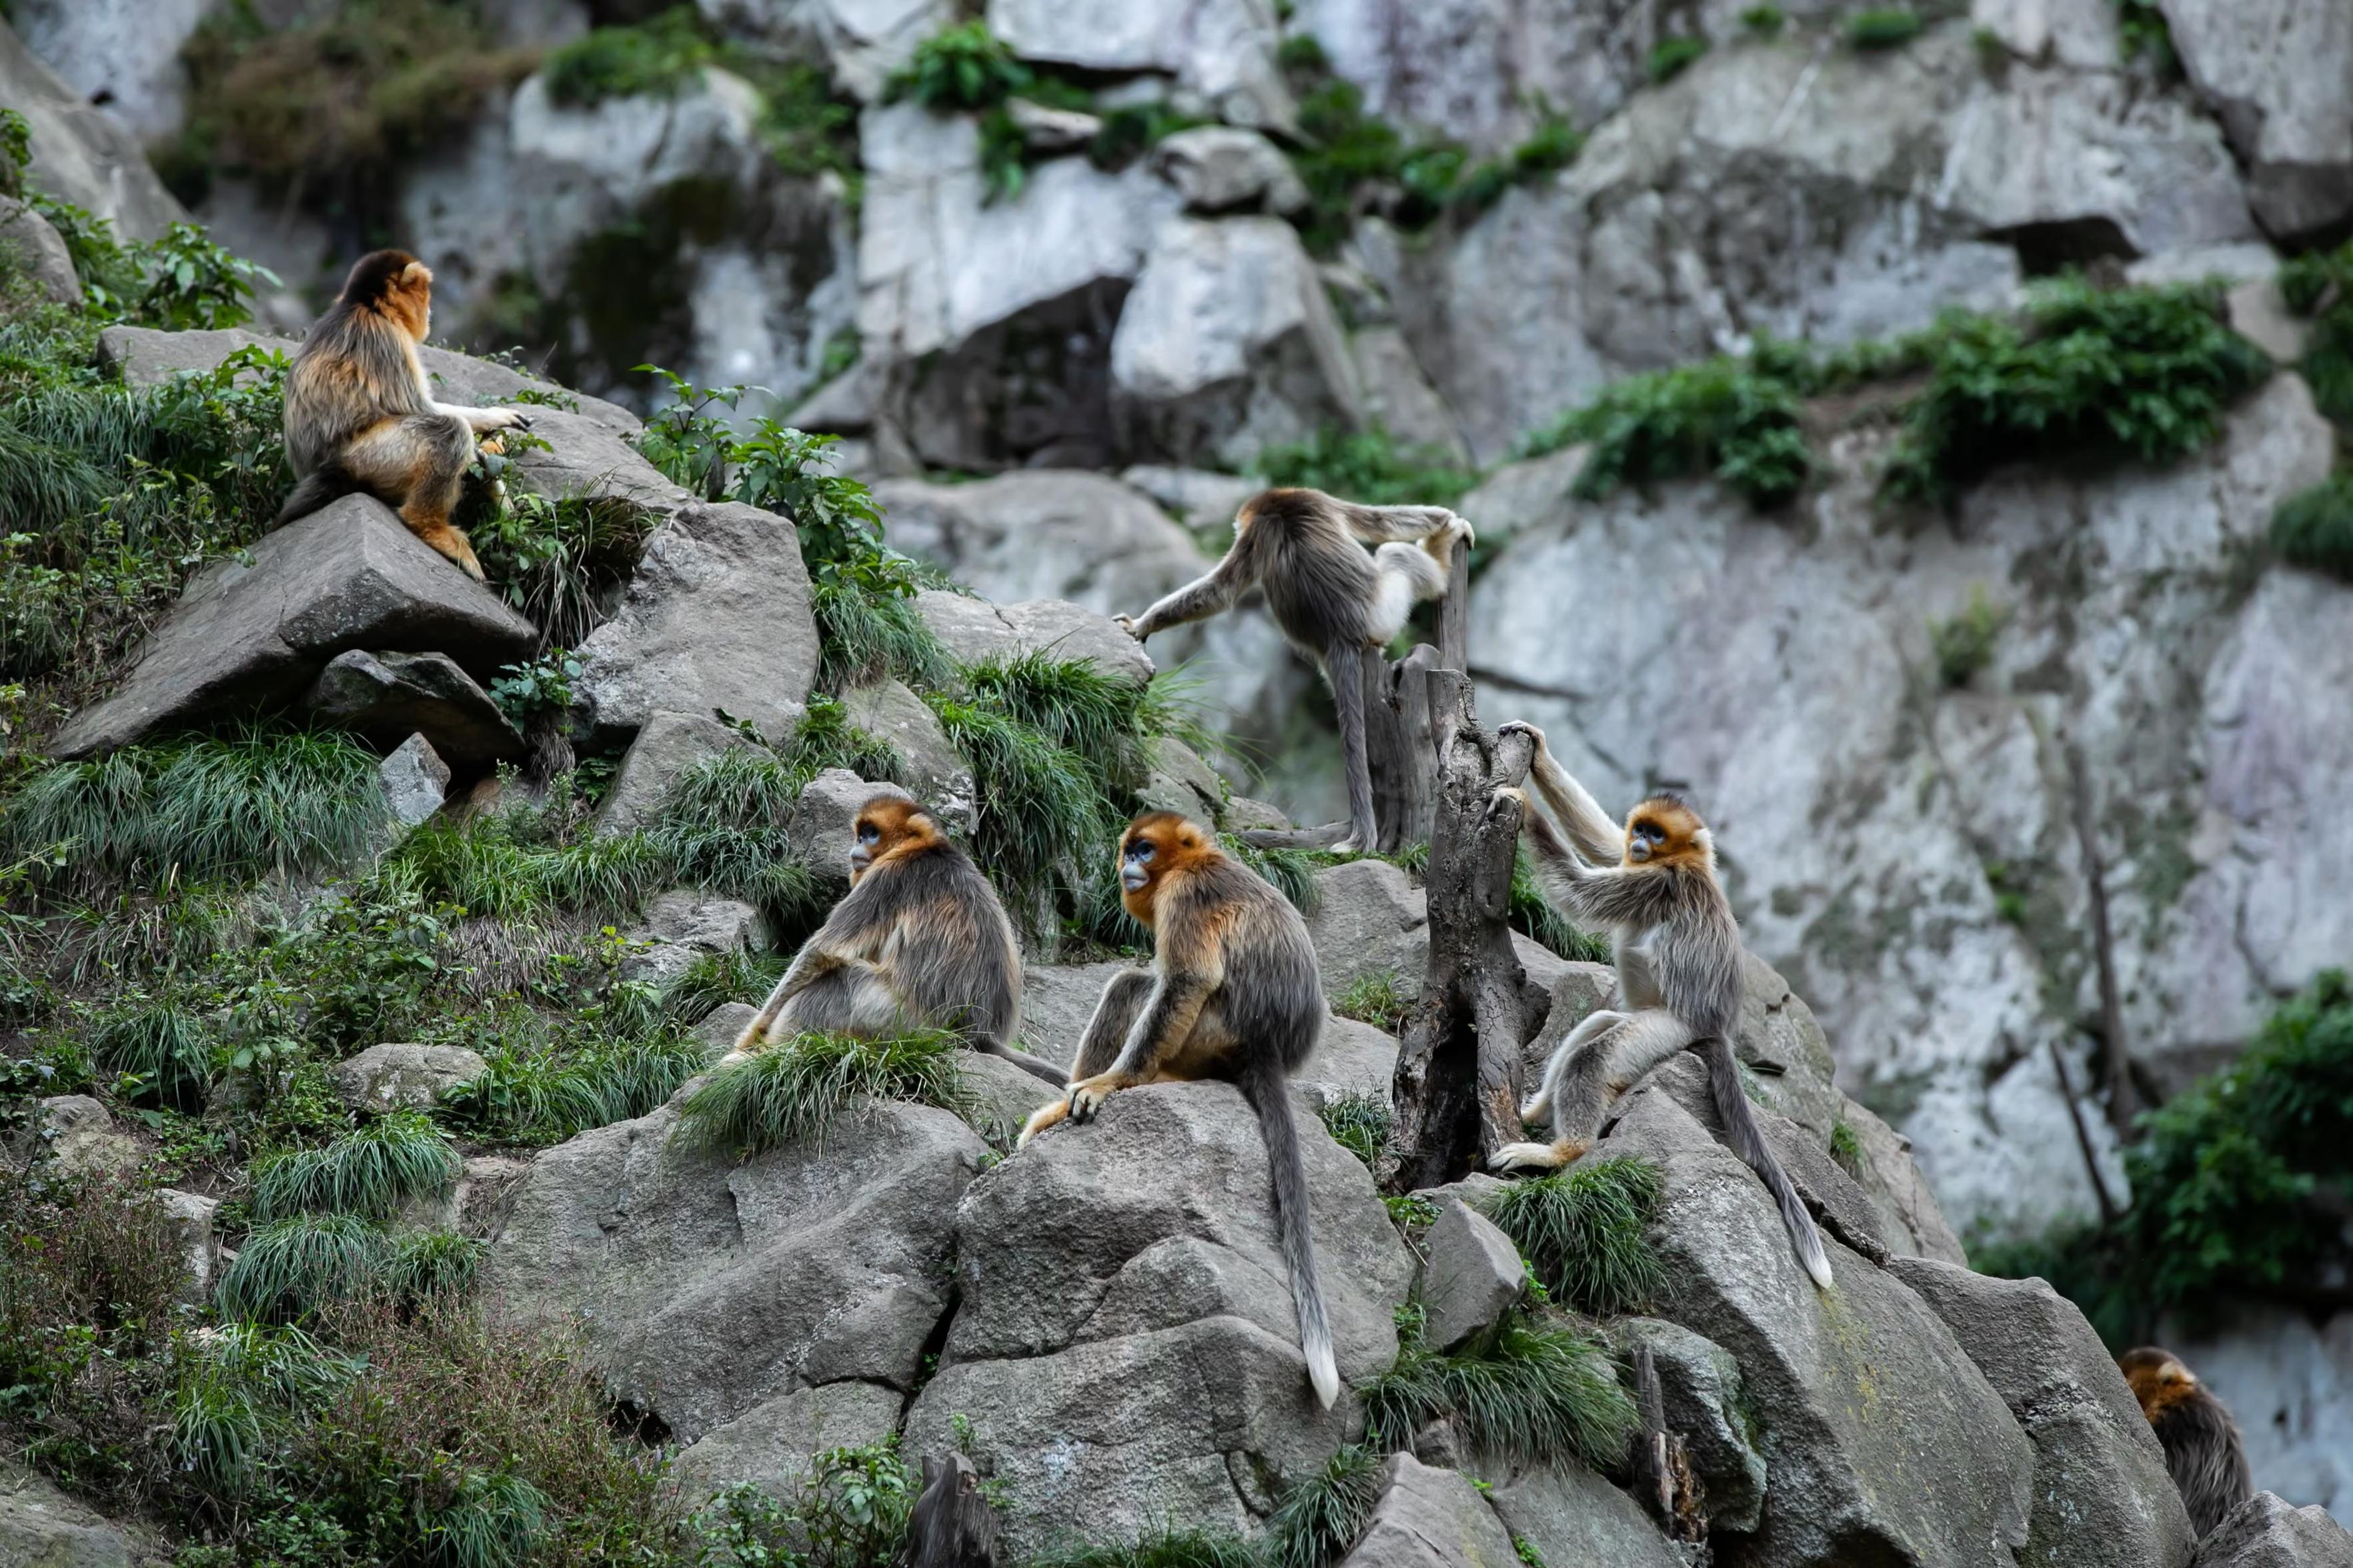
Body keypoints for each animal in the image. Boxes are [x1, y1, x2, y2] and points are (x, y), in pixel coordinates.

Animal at [275, 249, 529, 581]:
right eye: (425, 293)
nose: (430, 310)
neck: (365, 306)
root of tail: (318, 470)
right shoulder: (386, 340)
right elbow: (422, 408)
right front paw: (490, 426)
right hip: (372, 457)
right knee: (449, 431)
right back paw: (430, 527)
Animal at [730, 795, 1068, 1087]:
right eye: (861, 834)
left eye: (871, 834)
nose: (857, 846)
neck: (923, 848)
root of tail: (979, 1035)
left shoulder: (889, 877)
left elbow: (823, 951)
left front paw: (751, 1038)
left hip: (905, 1024)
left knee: (841, 979)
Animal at [1017, 812, 1340, 1407]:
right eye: (1129, 850)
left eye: (1146, 850)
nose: (1129, 865)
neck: (1194, 862)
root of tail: (1266, 1049)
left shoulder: (1186, 896)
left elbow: (1190, 978)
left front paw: (1111, 1083)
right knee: (1133, 984)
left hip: (1209, 1035)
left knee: (1141, 985)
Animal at [1115, 488, 1473, 854]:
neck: (1277, 508)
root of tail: (1340, 634)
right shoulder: (1314, 499)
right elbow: (1380, 523)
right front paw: (1449, 523)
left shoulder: (1273, 520)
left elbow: (1221, 590)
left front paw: (1141, 625)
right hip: (1384, 612)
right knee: (1395, 551)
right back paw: (1440, 558)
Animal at [1485, 721, 1834, 1290]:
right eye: (1641, 828)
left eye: (1656, 834)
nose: (1641, 843)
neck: (1682, 862)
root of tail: (1714, 1025)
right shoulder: (1641, 866)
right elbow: (1603, 844)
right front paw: (1538, 750)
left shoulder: (1659, 881)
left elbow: (1581, 890)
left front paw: (1523, 803)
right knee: (1599, 1023)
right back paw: (1537, 1108)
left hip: (1669, 1029)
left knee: (1596, 1056)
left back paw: (1561, 1150)